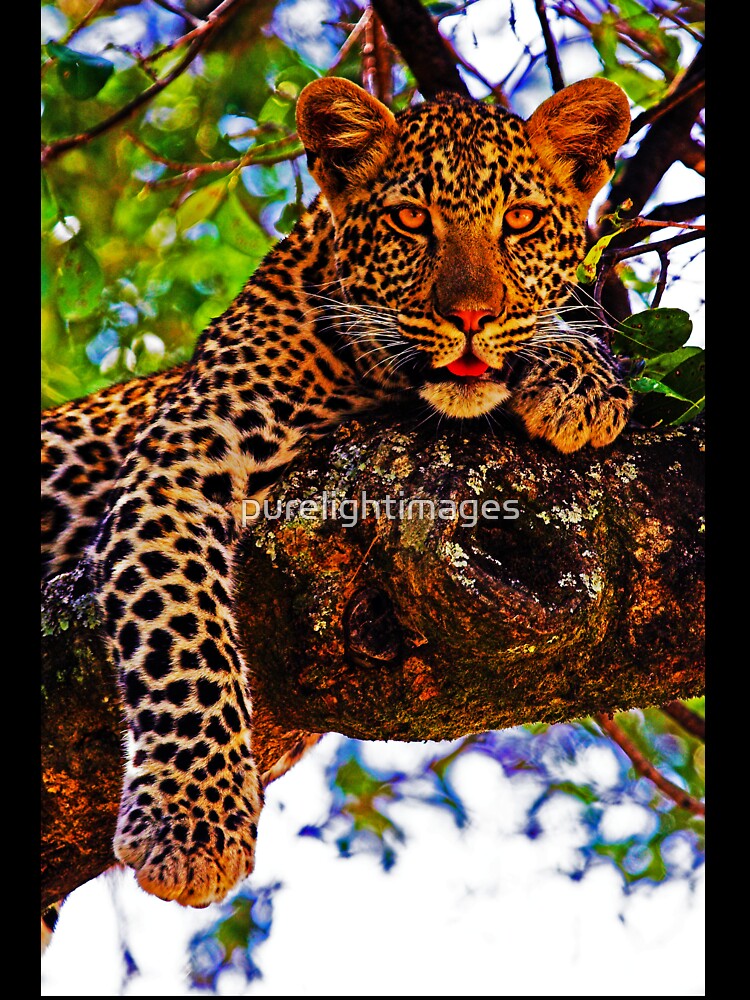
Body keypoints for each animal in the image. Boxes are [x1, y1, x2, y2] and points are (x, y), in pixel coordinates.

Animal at [41, 76, 633, 912]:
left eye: (519, 221)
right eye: (411, 219)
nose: (472, 317)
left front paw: (579, 380)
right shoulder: (177, 461)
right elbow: (186, 639)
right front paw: (190, 825)